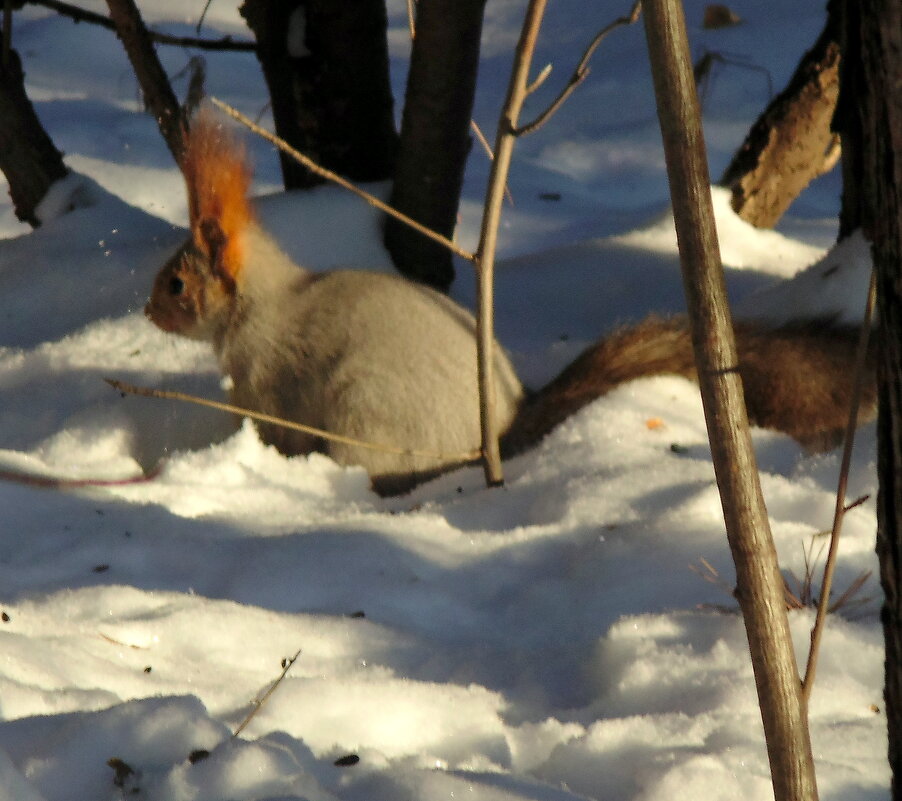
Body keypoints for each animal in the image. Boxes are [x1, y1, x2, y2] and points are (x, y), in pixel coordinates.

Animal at [147, 108, 876, 494]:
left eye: (178, 284)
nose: (149, 312)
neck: (260, 304)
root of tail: (499, 429)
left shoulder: (266, 381)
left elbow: (270, 424)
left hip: (366, 414)